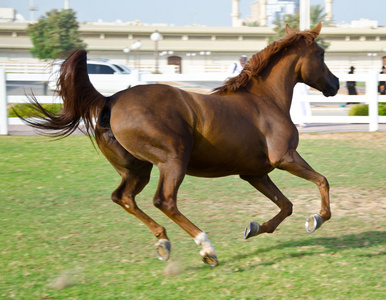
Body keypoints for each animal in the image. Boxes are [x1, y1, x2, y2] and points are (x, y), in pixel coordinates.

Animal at [18, 24, 338, 268]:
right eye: (321, 54)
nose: (335, 84)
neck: (264, 100)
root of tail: (110, 99)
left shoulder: (254, 173)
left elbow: (286, 205)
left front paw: (256, 228)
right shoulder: (285, 158)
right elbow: (322, 181)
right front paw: (317, 219)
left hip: (137, 169)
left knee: (123, 197)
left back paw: (163, 241)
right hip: (173, 160)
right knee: (164, 201)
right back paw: (206, 248)